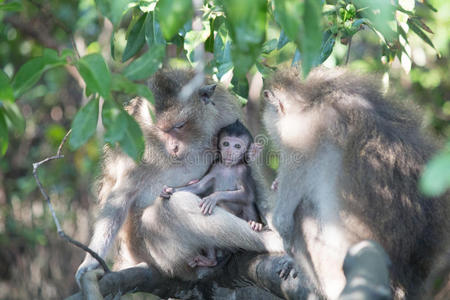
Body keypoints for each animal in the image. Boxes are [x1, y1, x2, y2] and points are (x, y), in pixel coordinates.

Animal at [162, 119, 266, 268]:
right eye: (226, 144)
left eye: (237, 146)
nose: (229, 152)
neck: (228, 167)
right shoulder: (215, 166)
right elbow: (199, 186)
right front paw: (170, 190)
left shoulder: (244, 171)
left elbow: (248, 195)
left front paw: (212, 197)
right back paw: (210, 260)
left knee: (247, 204)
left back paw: (255, 224)